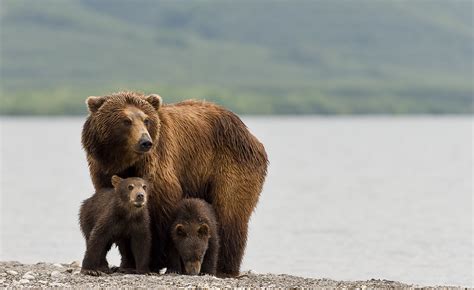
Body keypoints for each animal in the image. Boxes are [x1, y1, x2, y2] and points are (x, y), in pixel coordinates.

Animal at [80, 92, 266, 278]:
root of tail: (245, 129)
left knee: (230, 212)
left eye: (146, 120)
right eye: (126, 120)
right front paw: (126, 263)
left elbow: (162, 214)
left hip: (231, 165)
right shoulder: (104, 172)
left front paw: (156, 263)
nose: (145, 141)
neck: (125, 161)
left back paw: (224, 268)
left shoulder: (158, 165)